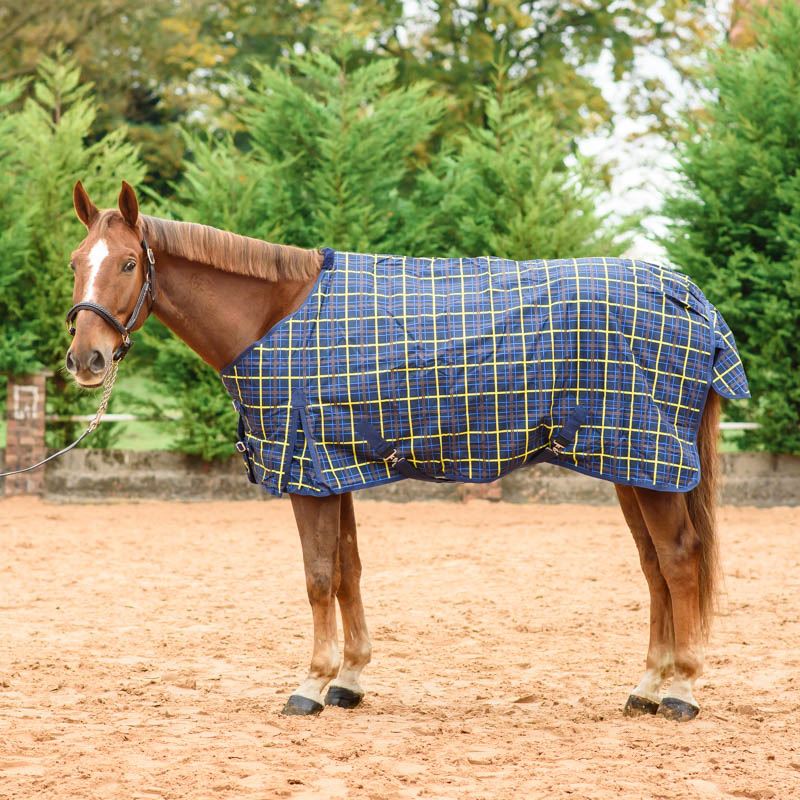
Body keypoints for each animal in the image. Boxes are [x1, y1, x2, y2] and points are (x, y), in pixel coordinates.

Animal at [64, 179, 734, 721]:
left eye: (128, 262)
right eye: (76, 262)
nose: (85, 359)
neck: (277, 318)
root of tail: (691, 300)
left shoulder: (307, 472)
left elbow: (319, 577)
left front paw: (310, 685)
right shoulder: (334, 471)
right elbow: (349, 570)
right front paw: (350, 680)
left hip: (650, 462)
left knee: (679, 561)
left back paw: (682, 692)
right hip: (633, 466)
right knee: (654, 567)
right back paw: (646, 687)